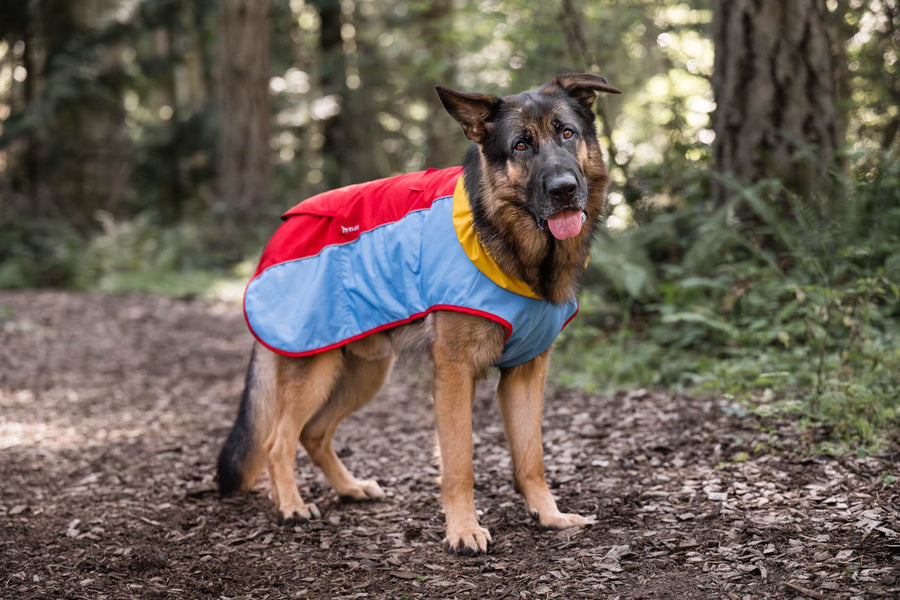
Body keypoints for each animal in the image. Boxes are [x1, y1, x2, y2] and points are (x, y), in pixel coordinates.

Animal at [217, 72, 624, 556]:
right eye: (521, 146)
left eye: (567, 133)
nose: (564, 189)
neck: (511, 241)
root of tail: (276, 240)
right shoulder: (454, 372)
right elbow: (459, 462)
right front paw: (464, 529)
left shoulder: (525, 374)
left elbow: (531, 457)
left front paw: (548, 515)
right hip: (317, 369)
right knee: (278, 439)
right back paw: (291, 506)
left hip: (363, 373)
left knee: (313, 433)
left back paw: (350, 488)